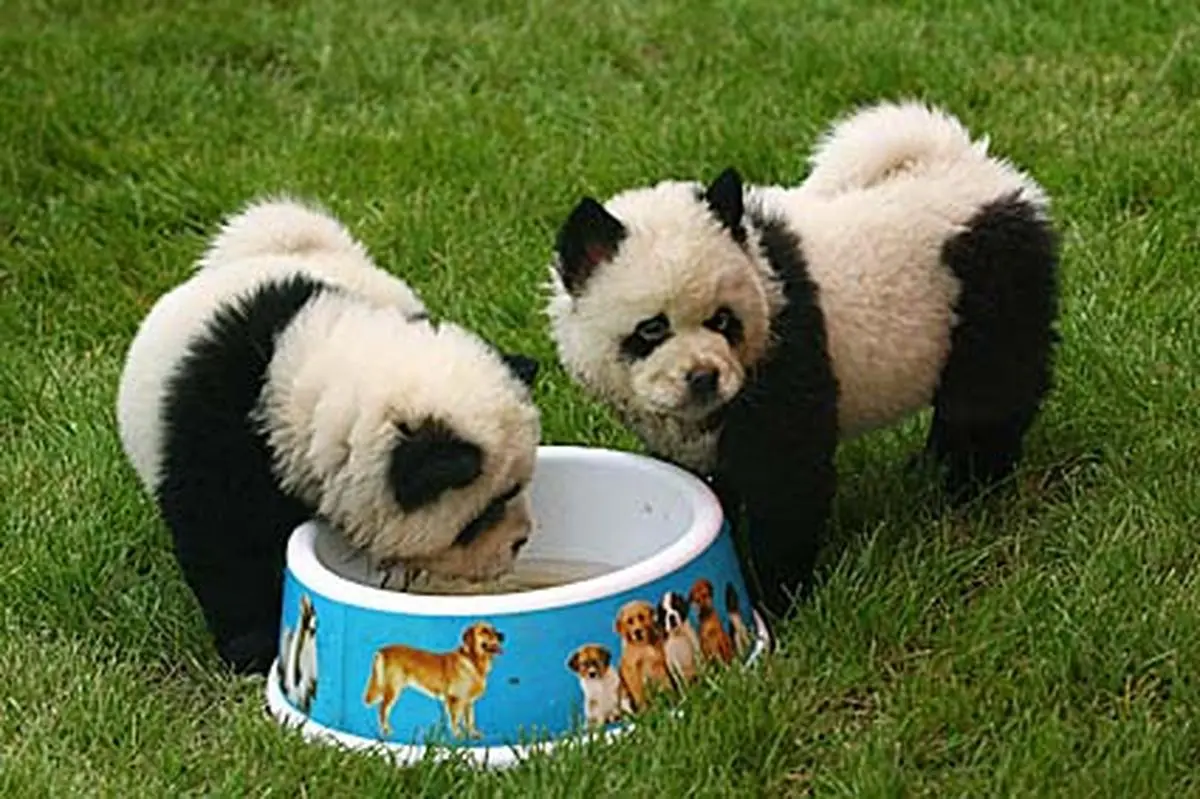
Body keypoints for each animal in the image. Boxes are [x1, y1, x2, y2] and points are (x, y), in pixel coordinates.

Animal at [544, 100, 1061, 616]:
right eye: (652, 328)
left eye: (723, 320)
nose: (704, 377)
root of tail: (975, 166)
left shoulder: (787, 353)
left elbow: (786, 481)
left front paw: (774, 598)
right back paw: (929, 470)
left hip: (991, 288)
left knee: (987, 397)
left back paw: (967, 492)